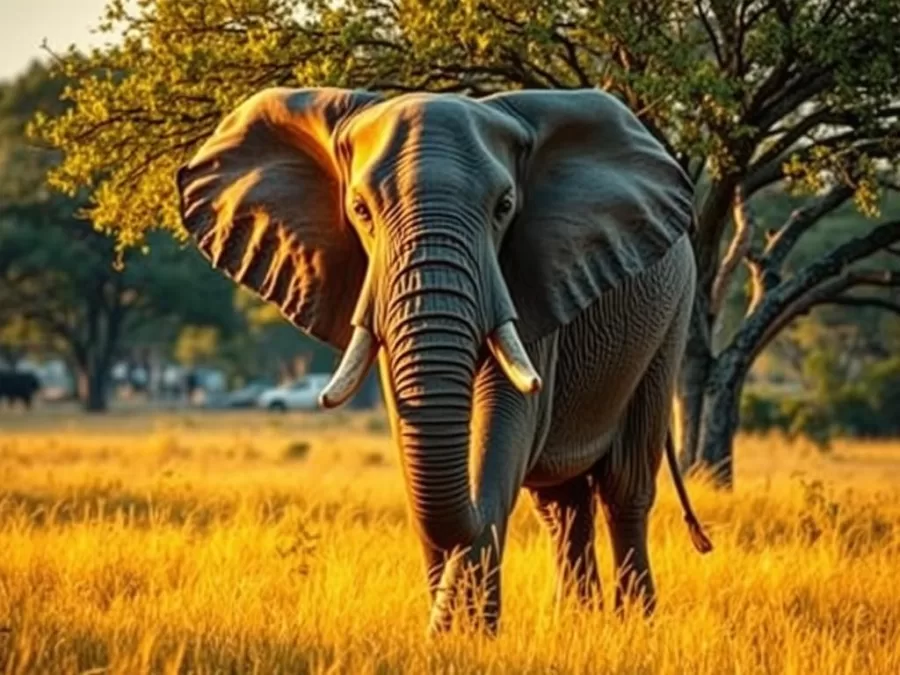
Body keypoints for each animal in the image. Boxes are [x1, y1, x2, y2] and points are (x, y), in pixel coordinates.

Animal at [175, 86, 713, 634]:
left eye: (505, 207)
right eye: (360, 210)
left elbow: (501, 434)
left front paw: (462, 634)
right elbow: (418, 446)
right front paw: (451, 634)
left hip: (672, 316)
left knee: (624, 486)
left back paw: (635, 623)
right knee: (562, 504)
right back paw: (574, 621)